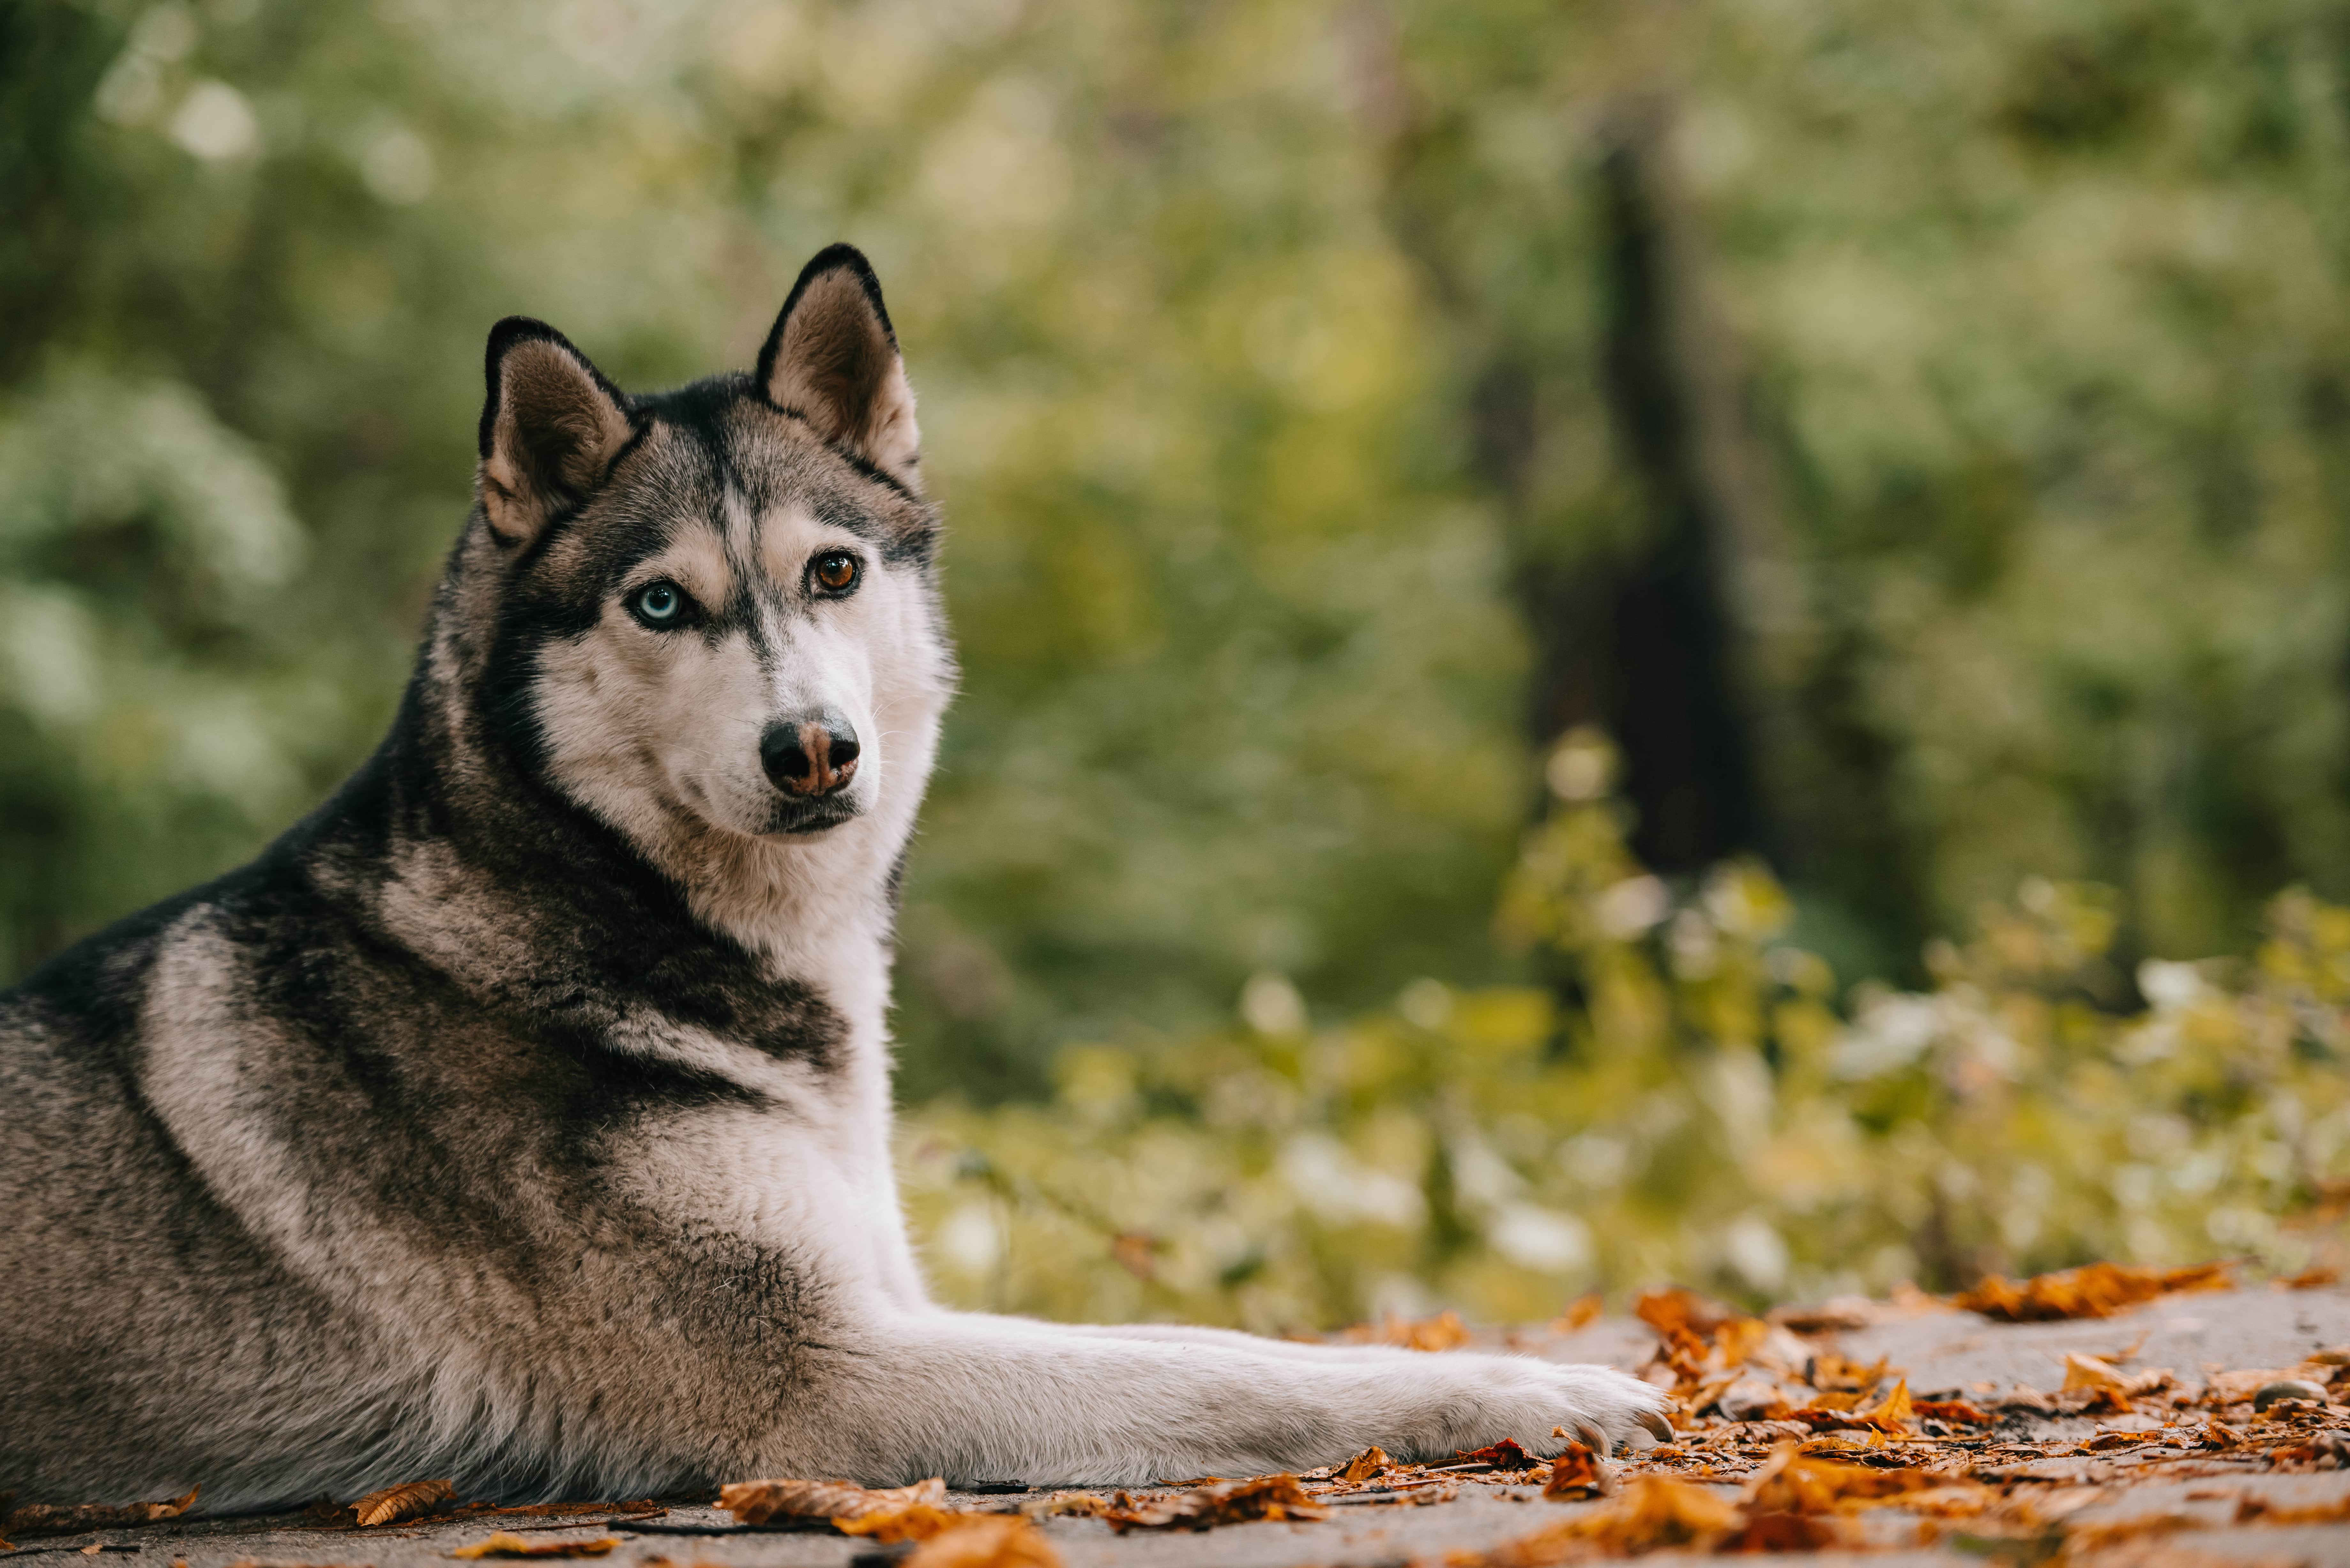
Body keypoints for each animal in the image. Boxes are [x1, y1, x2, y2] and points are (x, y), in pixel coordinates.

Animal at [0, 245, 1664, 1504]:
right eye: (660, 603)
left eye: (834, 572)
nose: (814, 749)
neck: (617, 915)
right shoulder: (831, 1376)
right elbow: (1236, 1365)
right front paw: (1534, 1385)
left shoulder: (885, 1300)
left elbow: (1233, 1340)